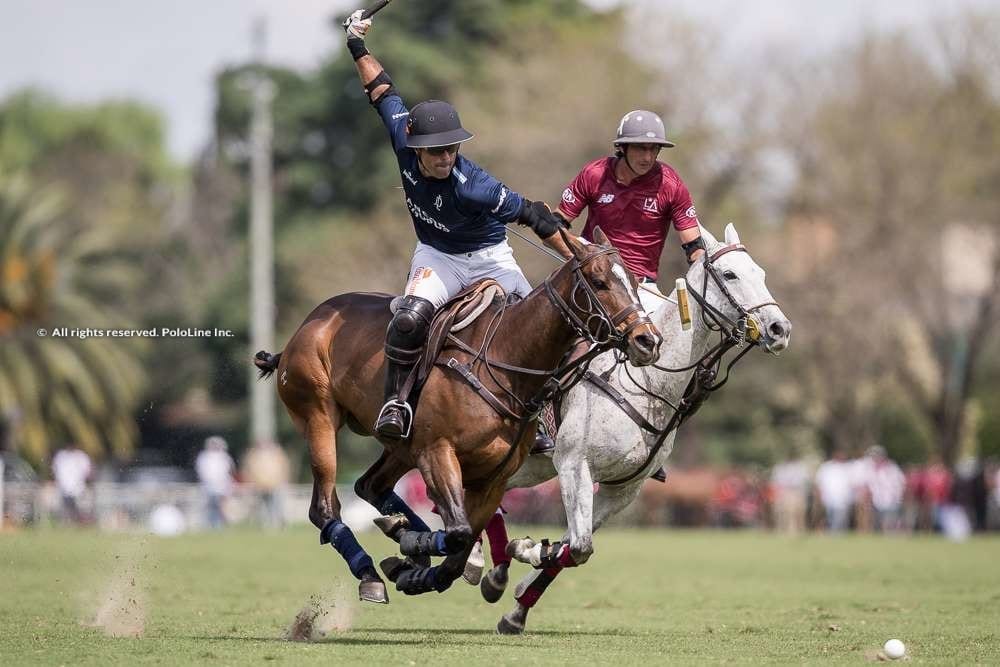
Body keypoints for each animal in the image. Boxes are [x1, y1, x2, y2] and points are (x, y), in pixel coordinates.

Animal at [252, 228, 656, 604]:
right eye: (599, 282)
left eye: (634, 281)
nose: (647, 340)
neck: (506, 360)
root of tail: (305, 327)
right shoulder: (438, 452)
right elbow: (458, 533)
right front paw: (416, 547)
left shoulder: (493, 478)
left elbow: (458, 554)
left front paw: (416, 566)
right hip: (318, 415)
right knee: (324, 508)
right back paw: (371, 571)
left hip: (401, 447)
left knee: (370, 486)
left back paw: (400, 536)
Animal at [488, 224, 792, 636]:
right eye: (730, 274)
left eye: (761, 273)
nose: (780, 329)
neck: (648, 380)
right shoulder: (573, 464)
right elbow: (579, 543)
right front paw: (525, 552)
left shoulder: (623, 489)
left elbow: (574, 547)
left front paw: (519, 601)